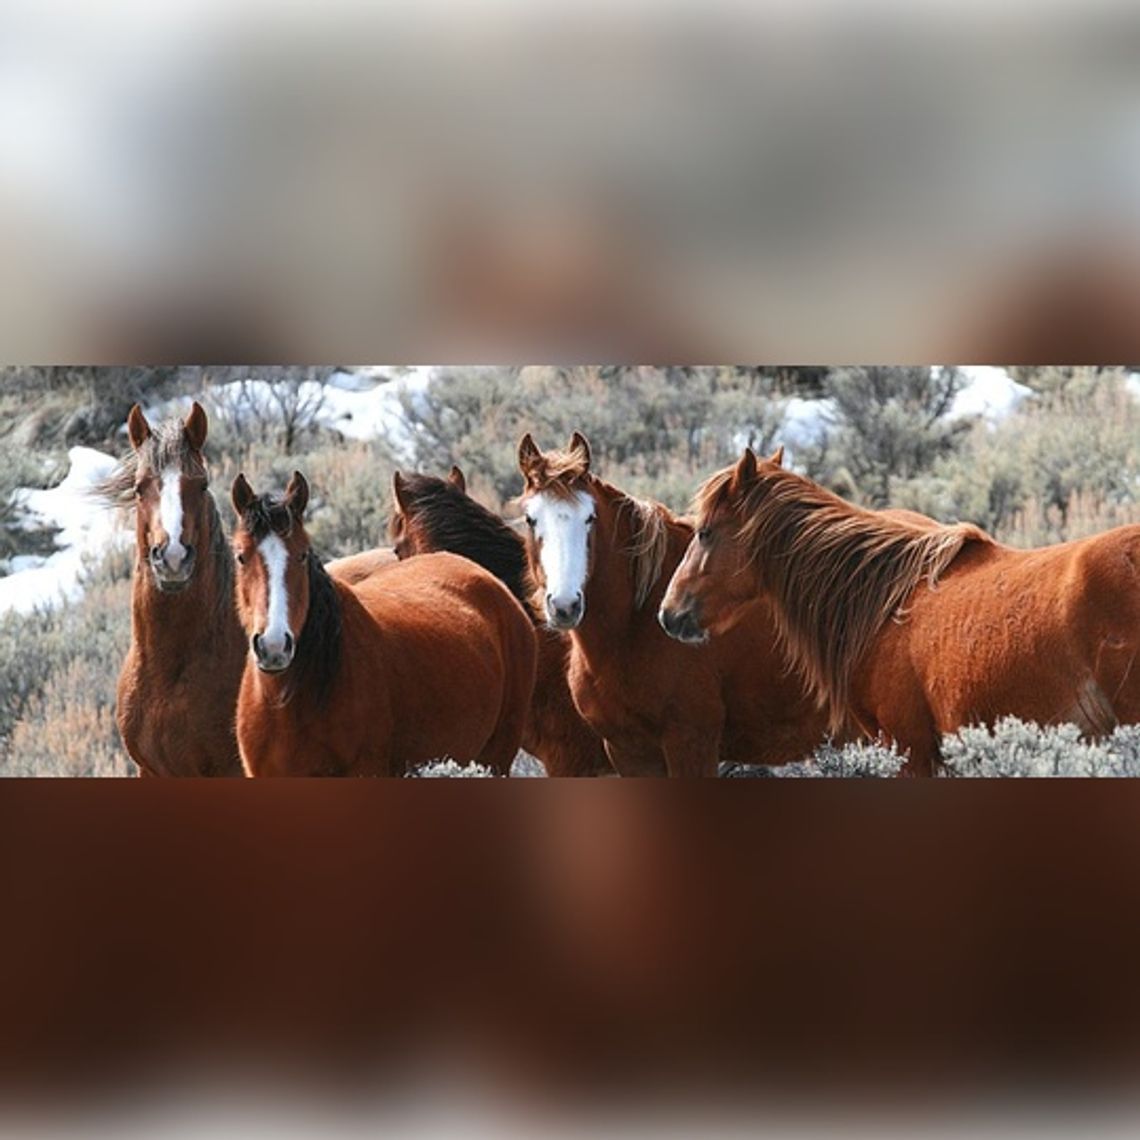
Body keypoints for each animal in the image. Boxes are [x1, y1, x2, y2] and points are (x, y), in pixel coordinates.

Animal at [516, 432, 830, 776]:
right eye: (531, 519)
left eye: (589, 518)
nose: (565, 606)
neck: (633, 626)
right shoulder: (627, 751)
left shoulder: (691, 743)